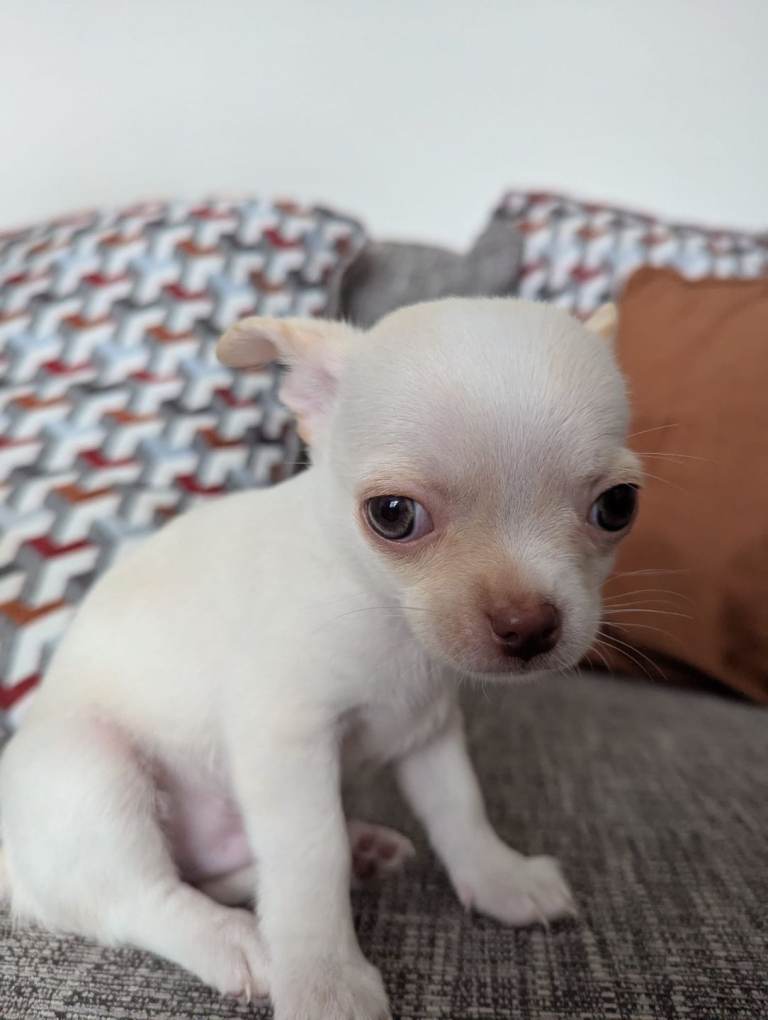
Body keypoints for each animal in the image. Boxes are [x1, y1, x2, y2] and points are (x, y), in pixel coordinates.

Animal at [0, 297, 640, 1020]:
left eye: (618, 505)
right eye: (392, 515)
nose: (528, 625)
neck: (383, 615)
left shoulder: (428, 732)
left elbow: (460, 807)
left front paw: (499, 875)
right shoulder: (289, 741)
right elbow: (311, 857)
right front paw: (325, 978)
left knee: (211, 873)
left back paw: (355, 852)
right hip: (90, 772)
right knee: (141, 898)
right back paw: (235, 940)